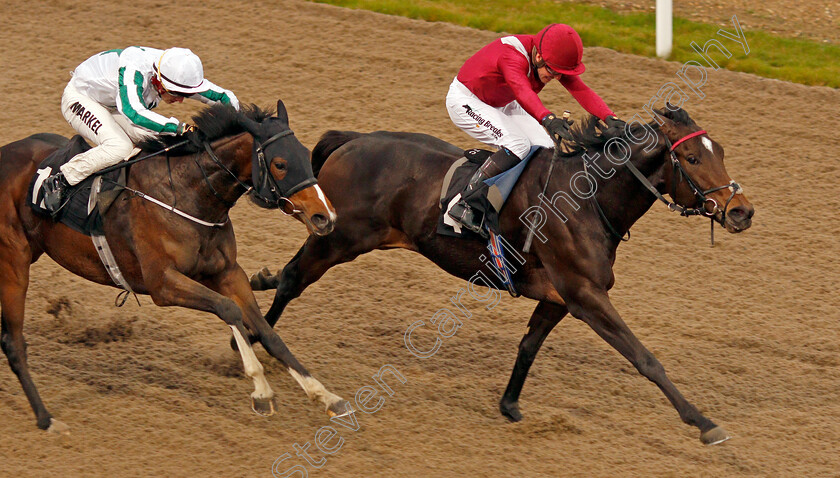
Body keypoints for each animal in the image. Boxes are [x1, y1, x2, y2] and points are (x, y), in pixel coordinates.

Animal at [0, 100, 352, 434]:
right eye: (280, 164)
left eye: (307, 156)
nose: (325, 217)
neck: (186, 194)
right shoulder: (162, 284)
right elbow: (228, 310)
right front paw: (262, 392)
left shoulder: (227, 272)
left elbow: (267, 331)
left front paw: (326, 396)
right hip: (13, 262)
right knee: (13, 342)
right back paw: (46, 419)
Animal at [249, 107, 756, 444]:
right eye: (692, 159)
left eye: (720, 151)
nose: (741, 211)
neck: (587, 201)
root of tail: (352, 140)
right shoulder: (586, 295)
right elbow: (644, 358)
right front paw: (704, 423)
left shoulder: (558, 297)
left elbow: (529, 345)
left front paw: (510, 404)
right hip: (339, 239)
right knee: (293, 278)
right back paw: (258, 346)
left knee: (285, 277)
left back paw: (259, 289)